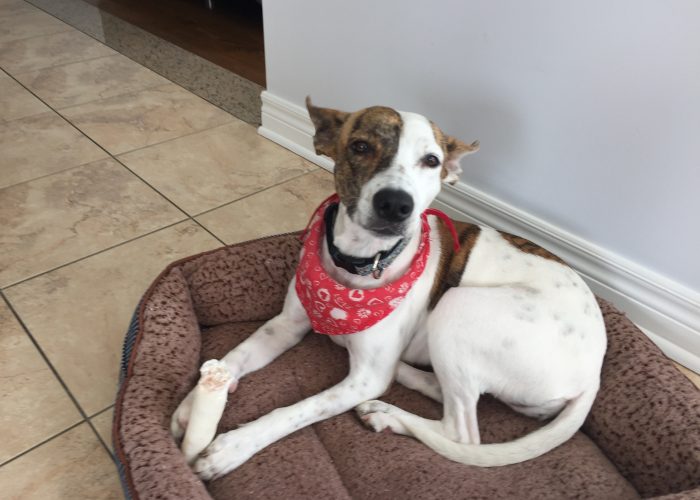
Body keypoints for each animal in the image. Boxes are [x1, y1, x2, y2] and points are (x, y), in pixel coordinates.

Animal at [171, 98, 607, 479]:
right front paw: (195, 407)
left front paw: (232, 447)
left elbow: (296, 411)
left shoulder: (363, 379)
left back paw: (388, 414)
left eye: (431, 161)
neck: (362, 265)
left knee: (462, 432)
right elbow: (234, 357)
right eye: (360, 146)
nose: (396, 204)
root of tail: (595, 373)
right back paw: (404, 378)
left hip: (457, 306)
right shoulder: (284, 326)